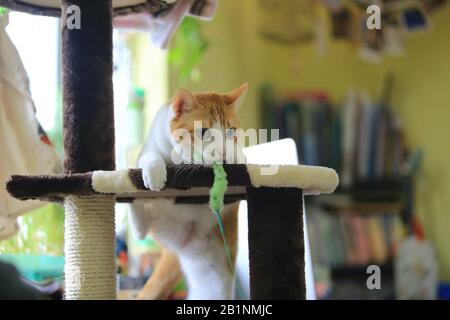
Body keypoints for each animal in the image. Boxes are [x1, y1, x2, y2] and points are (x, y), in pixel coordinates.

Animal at [130, 82, 248, 300]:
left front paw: (236, 156)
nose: (222, 152)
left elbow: (242, 155)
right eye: (203, 132)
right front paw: (155, 174)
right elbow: (151, 157)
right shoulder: (148, 149)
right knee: (140, 224)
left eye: (230, 132)